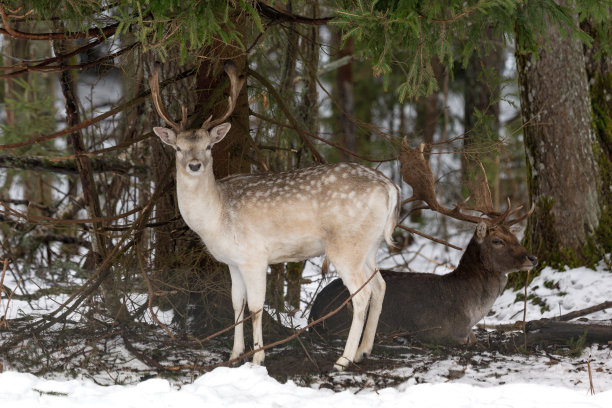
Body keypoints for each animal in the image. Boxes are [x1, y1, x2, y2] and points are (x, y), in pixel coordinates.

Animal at [149, 61, 402, 372]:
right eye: (178, 147)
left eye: (208, 146)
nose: (194, 165)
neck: (218, 216)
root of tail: (390, 188)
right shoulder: (233, 262)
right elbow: (237, 305)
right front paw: (234, 355)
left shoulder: (255, 256)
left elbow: (256, 307)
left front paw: (257, 358)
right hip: (370, 245)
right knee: (379, 285)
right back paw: (363, 351)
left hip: (346, 245)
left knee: (362, 294)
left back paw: (343, 359)